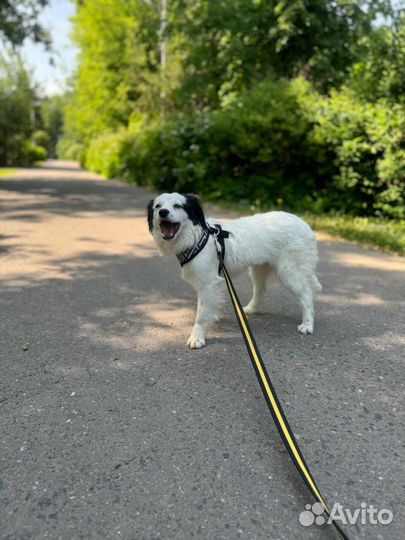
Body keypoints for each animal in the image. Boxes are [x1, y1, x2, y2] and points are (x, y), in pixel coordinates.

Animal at [147, 192, 320, 348]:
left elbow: (201, 315)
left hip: (290, 273)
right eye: (158, 206)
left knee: (307, 296)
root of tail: (304, 224)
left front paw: (197, 338)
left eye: (178, 205)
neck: (196, 237)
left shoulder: (208, 284)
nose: (163, 212)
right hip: (259, 269)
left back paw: (307, 325)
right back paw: (250, 309)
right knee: (261, 290)